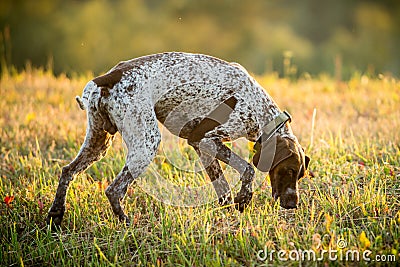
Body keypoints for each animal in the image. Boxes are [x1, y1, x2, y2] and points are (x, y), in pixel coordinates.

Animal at [47, 51, 310, 226]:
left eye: (299, 175)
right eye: (287, 170)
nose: (293, 204)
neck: (259, 108)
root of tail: (109, 78)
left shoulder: (200, 146)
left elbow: (223, 189)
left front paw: (229, 215)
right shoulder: (206, 140)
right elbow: (247, 169)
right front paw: (243, 199)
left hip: (98, 142)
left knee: (67, 171)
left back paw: (56, 215)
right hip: (147, 144)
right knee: (114, 190)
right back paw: (127, 223)